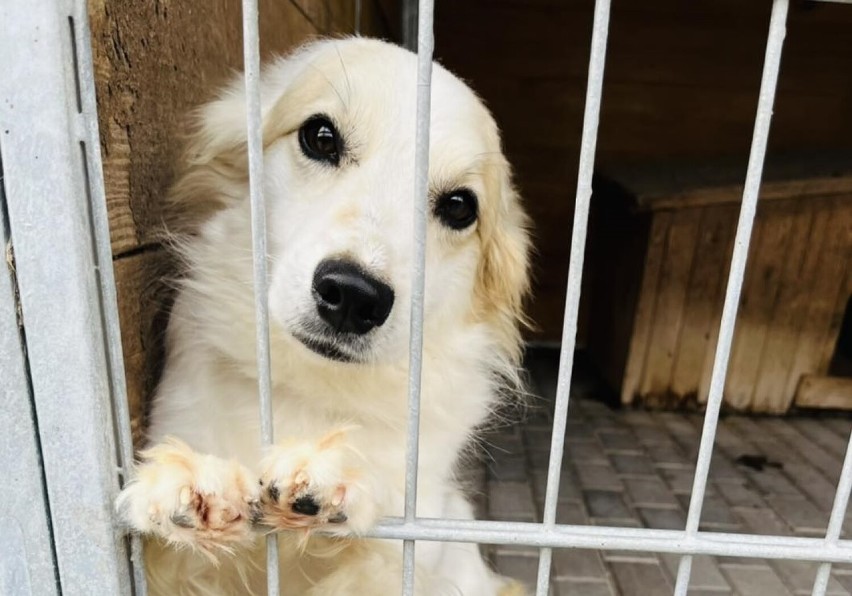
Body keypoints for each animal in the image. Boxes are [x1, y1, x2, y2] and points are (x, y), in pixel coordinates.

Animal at [118, 38, 532, 596]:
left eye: (460, 207)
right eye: (320, 137)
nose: (355, 296)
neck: (314, 388)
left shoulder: (420, 547)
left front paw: (333, 479)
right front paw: (190, 486)